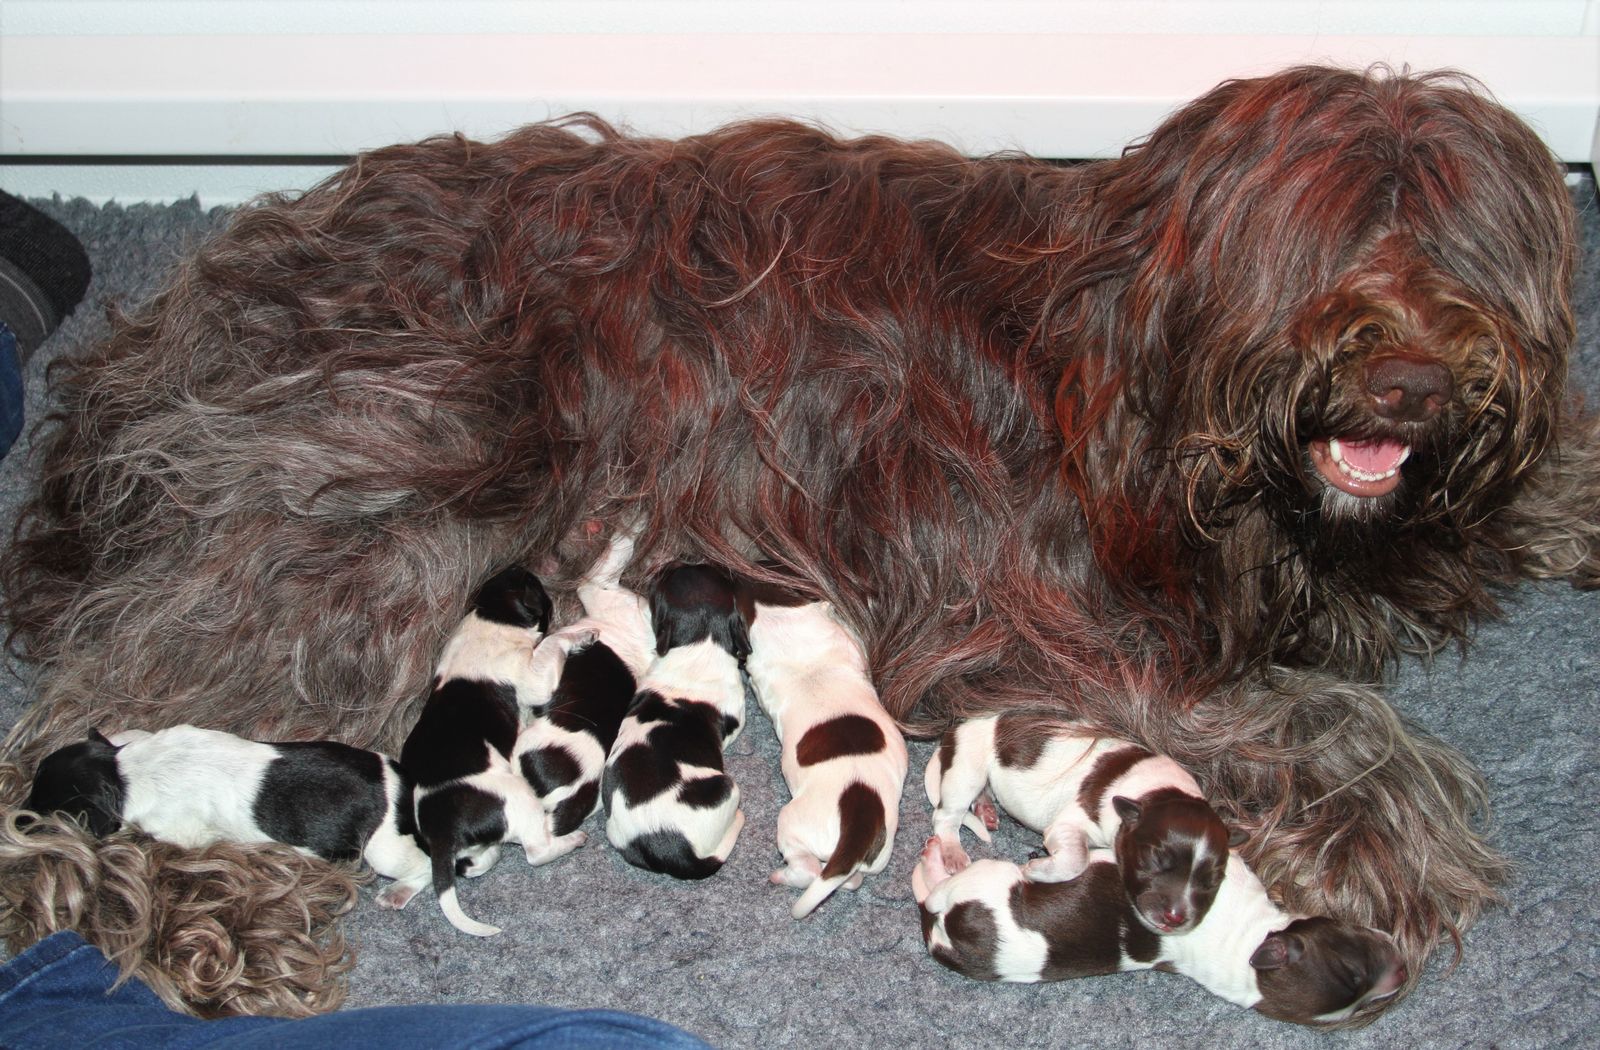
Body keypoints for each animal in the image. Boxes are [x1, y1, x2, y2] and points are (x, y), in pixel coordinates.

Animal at [25, 725, 432, 906]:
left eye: (51, 811)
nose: (20, 818)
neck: (124, 772)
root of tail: (400, 777)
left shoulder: (178, 831)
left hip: (384, 848)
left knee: (424, 866)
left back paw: (399, 890)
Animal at [401, 565, 588, 936]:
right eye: (540, 591)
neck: (490, 615)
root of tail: (441, 827)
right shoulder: (533, 678)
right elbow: (552, 641)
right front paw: (581, 633)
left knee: (473, 863)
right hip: (519, 798)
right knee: (537, 850)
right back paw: (571, 840)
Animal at [912, 838, 1406, 1028]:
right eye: (1354, 966)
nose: (1401, 974)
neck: (1250, 958)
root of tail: (946, 943)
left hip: (984, 880)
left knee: (931, 890)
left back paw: (932, 859)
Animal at [925, 712, 1242, 934]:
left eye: (1212, 880)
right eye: (1153, 860)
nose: (1175, 917)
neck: (1156, 791)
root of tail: (954, 732)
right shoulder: (1070, 823)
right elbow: (1076, 859)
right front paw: (1036, 868)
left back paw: (987, 809)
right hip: (966, 771)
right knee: (945, 817)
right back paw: (953, 850)